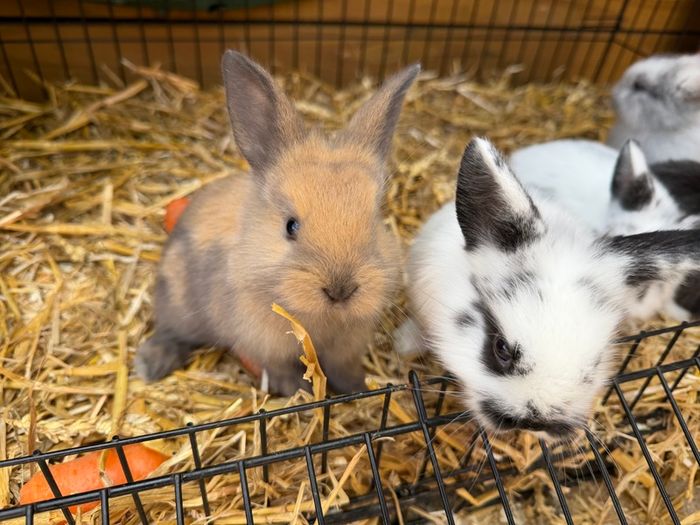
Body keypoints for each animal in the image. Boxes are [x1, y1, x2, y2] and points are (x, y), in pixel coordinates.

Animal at [135, 50, 420, 396]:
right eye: (290, 226)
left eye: (375, 219)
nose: (340, 290)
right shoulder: (264, 344)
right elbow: (280, 369)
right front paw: (301, 391)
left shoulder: (346, 348)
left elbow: (344, 369)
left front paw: (357, 388)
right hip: (178, 305)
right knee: (170, 332)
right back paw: (150, 365)